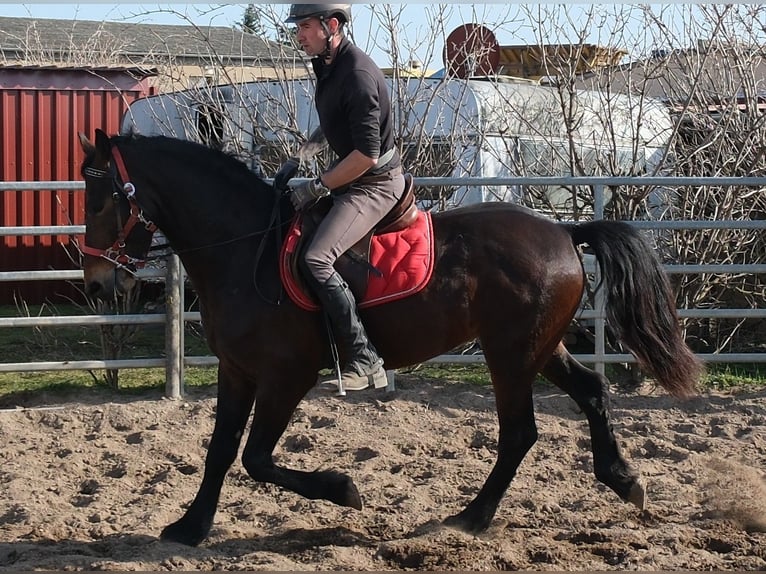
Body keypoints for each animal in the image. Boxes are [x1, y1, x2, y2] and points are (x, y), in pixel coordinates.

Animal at [77, 129, 702, 547]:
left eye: (103, 196)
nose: (99, 281)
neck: (244, 247)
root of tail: (563, 231)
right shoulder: (237, 371)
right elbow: (220, 451)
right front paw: (191, 526)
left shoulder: (285, 377)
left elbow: (256, 457)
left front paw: (343, 489)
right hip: (539, 348)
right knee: (592, 391)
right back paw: (623, 480)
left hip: (510, 355)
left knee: (521, 432)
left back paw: (471, 518)